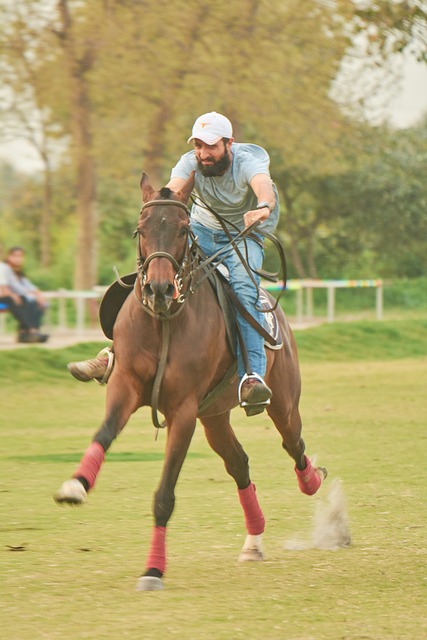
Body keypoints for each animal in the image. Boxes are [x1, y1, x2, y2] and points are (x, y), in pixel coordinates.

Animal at [53, 174, 328, 592]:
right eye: (141, 229)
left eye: (183, 229)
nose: (159, 289)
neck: (164, 321)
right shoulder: (125, 387)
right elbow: (104, 432)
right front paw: (76, 484)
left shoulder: (182, 410)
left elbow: (164, 494)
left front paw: (153, 570)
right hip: (213, 416)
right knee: (239, 464)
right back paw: (253, 541)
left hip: (281, 401)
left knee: (293, 443)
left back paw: (311, 480)